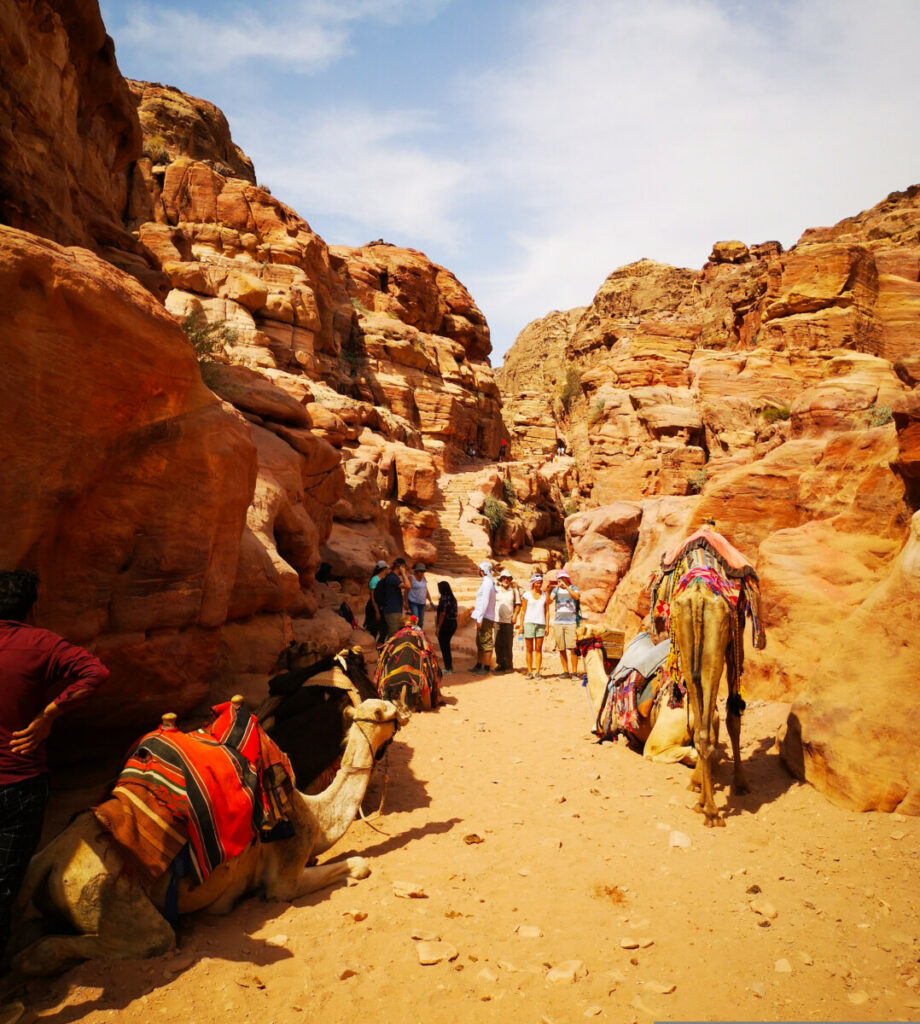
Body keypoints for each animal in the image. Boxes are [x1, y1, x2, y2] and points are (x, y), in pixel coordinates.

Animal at [9, 696, 405, 974]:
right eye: (382, 711)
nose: (403, 709)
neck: (314, 815)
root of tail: (53, 855)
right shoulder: (284, 877)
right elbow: (356, 864)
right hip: (108, 893)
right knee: (149, 939)